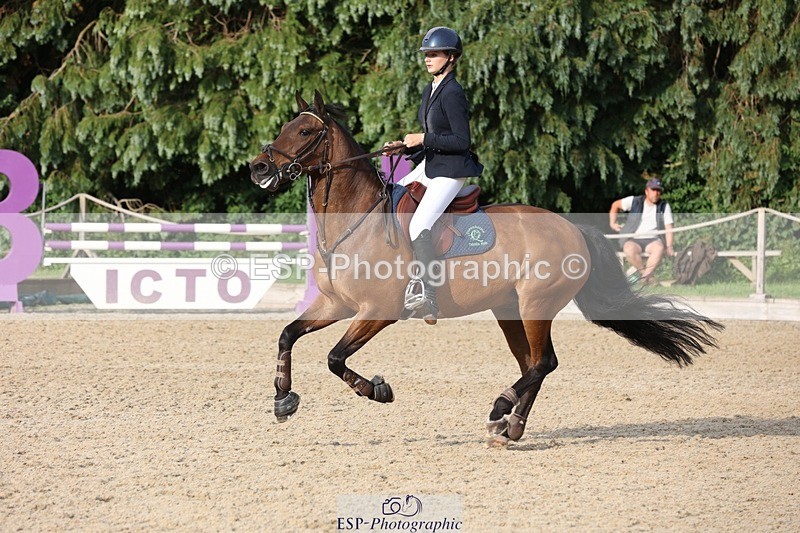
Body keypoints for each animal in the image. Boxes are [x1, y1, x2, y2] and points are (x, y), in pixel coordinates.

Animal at [249, 90, 723, 446]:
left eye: (304, 131)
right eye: (286, 127)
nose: (258, 167)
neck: (357, 221)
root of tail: (572, 228)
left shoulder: (377, 312)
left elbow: (334, 358)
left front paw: (377, 390)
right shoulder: (336, 305)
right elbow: (287, 334)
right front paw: (283, 399)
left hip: (536, 305)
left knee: (544, 362)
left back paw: (501, 410)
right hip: (509, 310)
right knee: (533, 364)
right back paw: (510, 427)